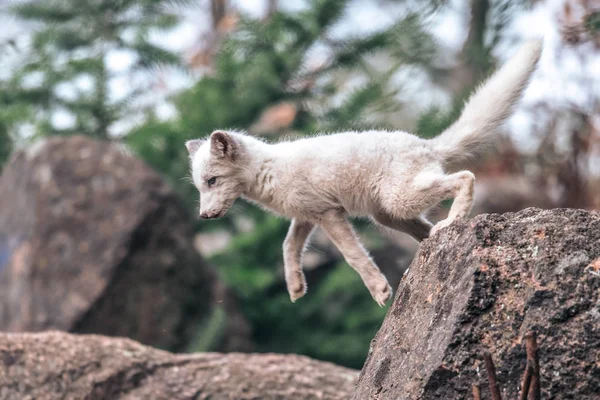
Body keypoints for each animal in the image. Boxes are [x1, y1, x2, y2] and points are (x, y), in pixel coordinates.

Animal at [185, 39, 540, 306]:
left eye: (212, 181)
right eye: (200, 188)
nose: (203, 216)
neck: (268, 171)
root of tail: (427, 144)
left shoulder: (329, 215)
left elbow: (353, 256)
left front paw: (379, 289)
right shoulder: (306, 216)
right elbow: (288, 247)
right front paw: (295, 286)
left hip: (399, 200)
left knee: (466, 177)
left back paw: (453, 221)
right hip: (388, 214)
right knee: (426, 228)